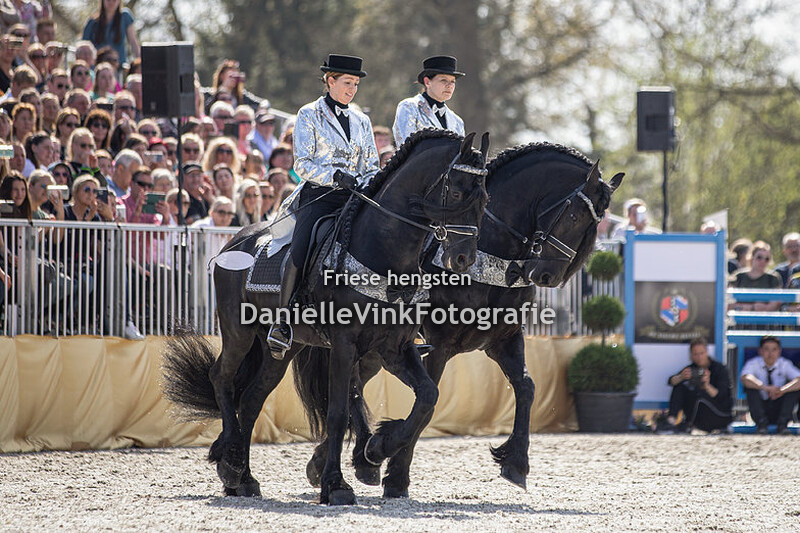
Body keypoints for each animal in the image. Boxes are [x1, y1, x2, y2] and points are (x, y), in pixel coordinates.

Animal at [162, 129, 492, 505]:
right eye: (456, 191)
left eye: (485, 198)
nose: (464, 258)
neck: (384, 253)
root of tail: (235, 241)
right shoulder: (345, 345)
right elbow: (337, 414)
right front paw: (336, 485)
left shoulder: (394, 348)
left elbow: (427, 397)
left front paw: (377, 449)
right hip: (238, 332)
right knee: (222, 378)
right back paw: (231, 463)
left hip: (281, 349)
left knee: (252, 398)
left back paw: (242, 479)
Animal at [293, 142, 624, 498]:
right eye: (574, 216)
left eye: (593, 225)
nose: (548, 275)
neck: (491, 257)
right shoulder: (439, 345)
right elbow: (427, 405)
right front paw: (395, 472)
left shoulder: (504, 340)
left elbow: (527, 387)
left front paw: (516, 462)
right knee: (351, 386)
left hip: (372, 349)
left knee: (353, 385)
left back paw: (337, 461)